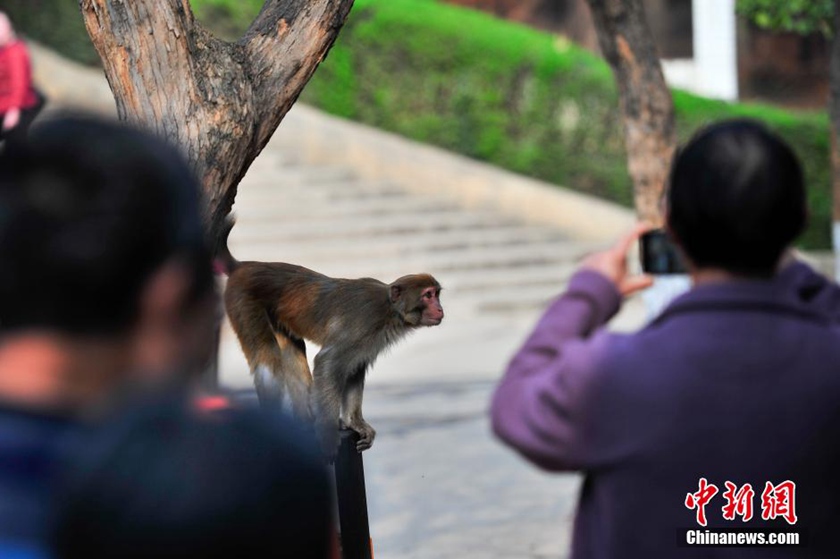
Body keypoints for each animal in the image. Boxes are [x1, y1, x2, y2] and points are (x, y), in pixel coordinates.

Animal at [217, 219, 442, 460]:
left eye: (437, 294)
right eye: (428, 295)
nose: (440, 309)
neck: (389, 311)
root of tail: (243, 266)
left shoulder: (370, 340)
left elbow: (355, 369)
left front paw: (355, 422)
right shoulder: (362, 323)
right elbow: (328, 362)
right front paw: (327, 432)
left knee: (292, 349)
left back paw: (304, 421)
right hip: (243, 300)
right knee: (267, 358)